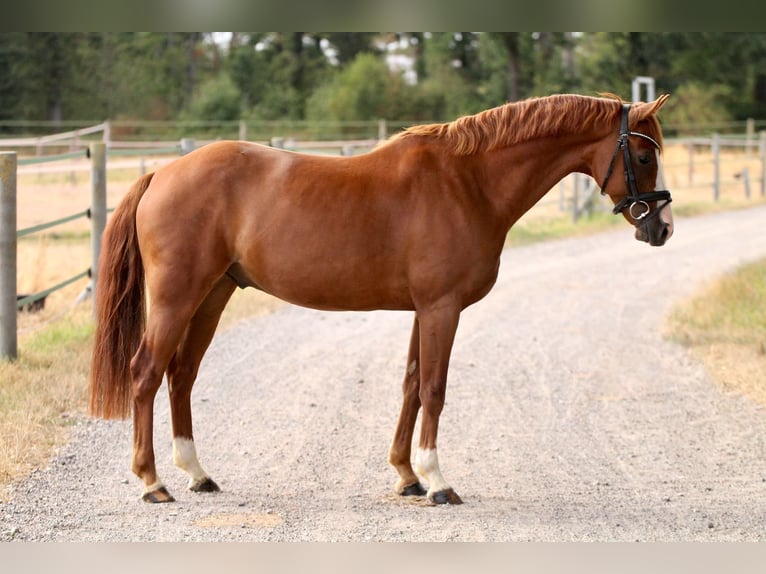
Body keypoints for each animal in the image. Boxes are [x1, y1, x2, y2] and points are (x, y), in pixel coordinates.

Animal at [89, 93, 674, 505]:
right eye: (644, 154)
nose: (662, 228)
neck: (468, 183)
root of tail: (161, 173)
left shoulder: (425, 310)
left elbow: (412, 385)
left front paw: (406, 475)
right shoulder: (441, 308)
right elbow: (434, 389)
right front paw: (437, 481)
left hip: (213, 294)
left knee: (181, 374)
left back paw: (197, 474)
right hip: (177, 297)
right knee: (146, 373)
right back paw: (151, 482)